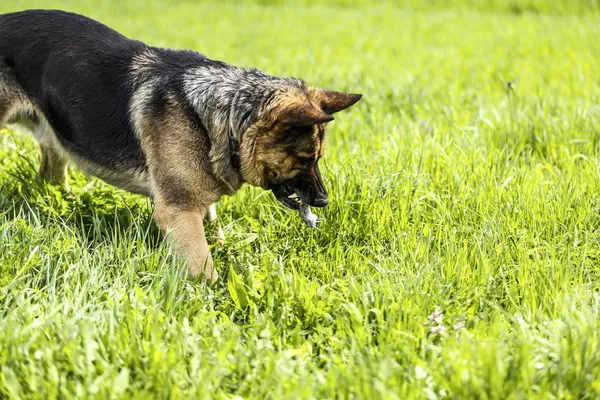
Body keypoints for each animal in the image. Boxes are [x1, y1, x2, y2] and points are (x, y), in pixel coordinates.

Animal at [0, 9, 360, 284]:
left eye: (318, 158)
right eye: (305, 158)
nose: (324, 201)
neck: (226, 114)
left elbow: (214, 228)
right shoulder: (179, 211)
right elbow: (204, 268)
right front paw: (217, 303)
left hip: (56, 136)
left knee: (50, 175)